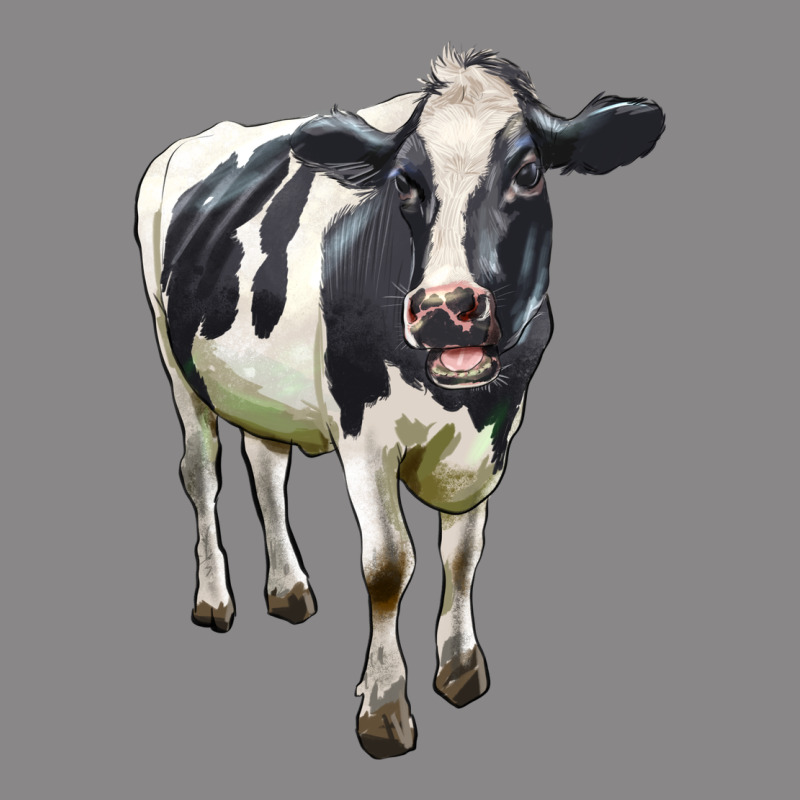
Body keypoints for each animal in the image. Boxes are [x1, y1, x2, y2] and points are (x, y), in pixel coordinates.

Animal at [135, 47, 664, 758]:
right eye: (406, 183)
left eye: (528, 172)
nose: (445, 308)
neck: (460, 404)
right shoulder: (364, 434)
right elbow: (389, 565)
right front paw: (384, 708)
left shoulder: (494, 438)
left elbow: (463, 553)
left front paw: (461, 667)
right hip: (175, 362)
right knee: (201, 474)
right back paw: (215, 598)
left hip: (261, 387)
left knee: (267, 468)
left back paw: (288, 588)